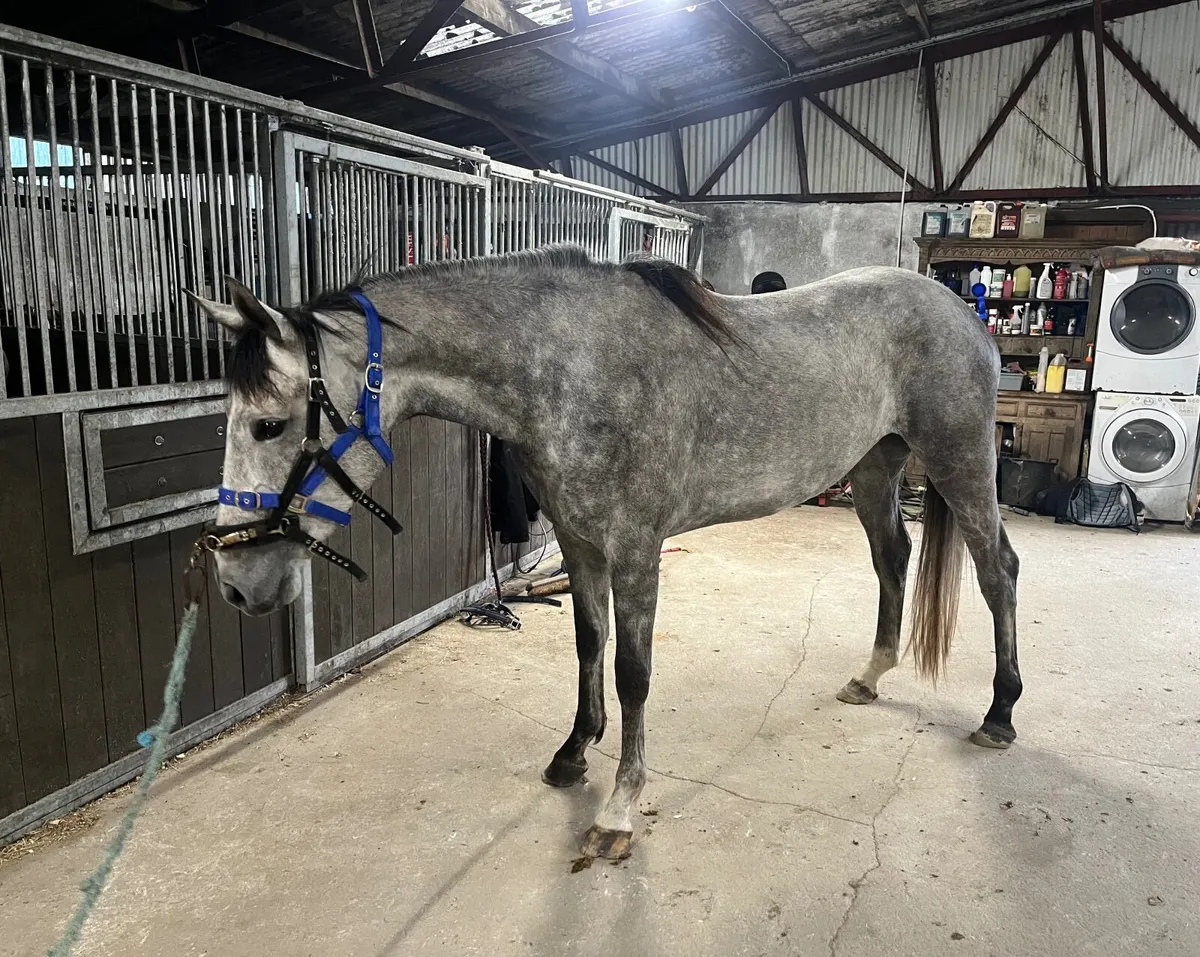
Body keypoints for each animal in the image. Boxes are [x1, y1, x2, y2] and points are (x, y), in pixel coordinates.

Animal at [191, 245, 1020, 860]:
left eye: (269, 424)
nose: (235, 580)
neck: (572, 369)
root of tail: (965, 315)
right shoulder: (580, 541)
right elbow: (588, 643)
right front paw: (572, 752)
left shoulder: (635, 549)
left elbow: (632, 672)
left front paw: (619, 809)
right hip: (877, 467)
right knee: (893, 556)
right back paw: (871, 674)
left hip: (959, 461)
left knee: (997, 570)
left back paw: (1000, 711)